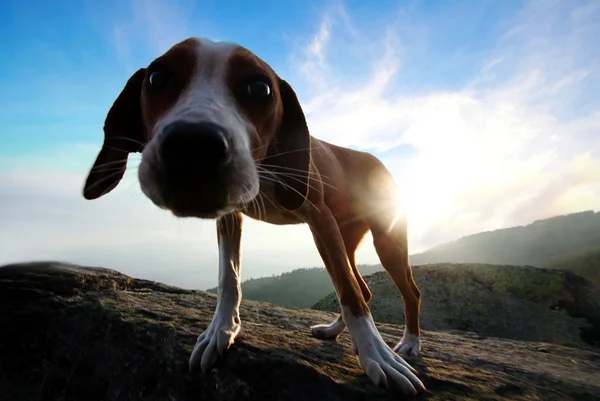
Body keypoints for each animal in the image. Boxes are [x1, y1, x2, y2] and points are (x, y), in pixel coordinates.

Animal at [82, 36, 424, 394]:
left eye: (260, 88)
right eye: (157, 78)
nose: (192, 146)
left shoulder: (320, 218)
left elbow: (348, 290)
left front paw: (376, 356)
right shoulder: (230, 217)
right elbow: (228, 277)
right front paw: (221, 331)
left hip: (385, 238)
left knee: (402, 291)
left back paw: (409, 343)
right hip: (345, 236)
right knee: (365, 287)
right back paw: (333, 330)